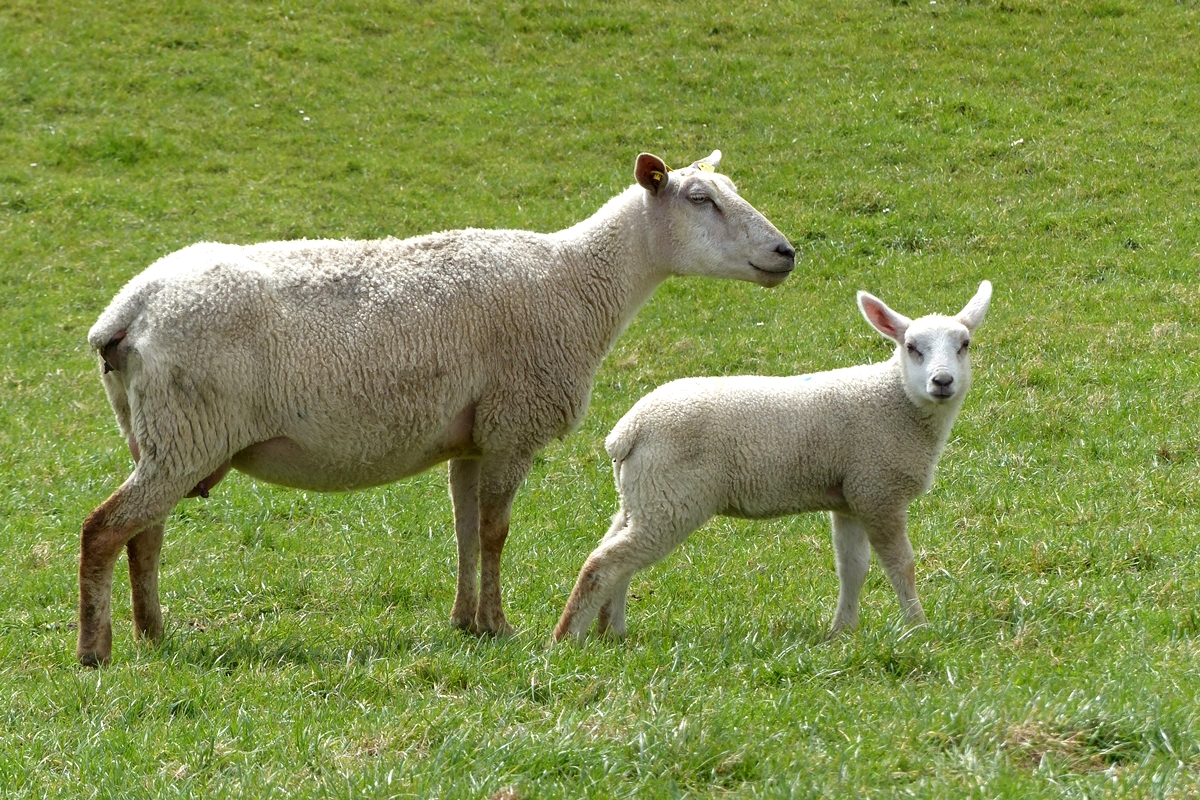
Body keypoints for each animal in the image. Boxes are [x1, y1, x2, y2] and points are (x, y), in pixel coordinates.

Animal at [79, 149, 801, 671]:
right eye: (701, 199)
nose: (785, 252)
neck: (577, 282)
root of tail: (127, 311)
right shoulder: (513, 424)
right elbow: (496, 532)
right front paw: (501, 625)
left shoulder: (473, 438)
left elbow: (464, 531)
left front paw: (467, 622)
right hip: (188, 431)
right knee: (104, 529)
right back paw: (96, 650)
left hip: (154, 433)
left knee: (144, 536)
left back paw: (154, 635)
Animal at [552, 281, 993, 642]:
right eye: (912, 347)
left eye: (965, 345)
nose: (942, 382)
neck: (896, 401)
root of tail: (627, 430)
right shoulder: (878, 490)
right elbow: (901, 565)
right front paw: (918, 627)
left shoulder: (850, 497)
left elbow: (853, 568)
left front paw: (843, 631)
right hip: (671, 499)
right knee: (604, 563)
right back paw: (568, 638)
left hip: (641, 496)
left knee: (615, 555)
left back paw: (612, 632)